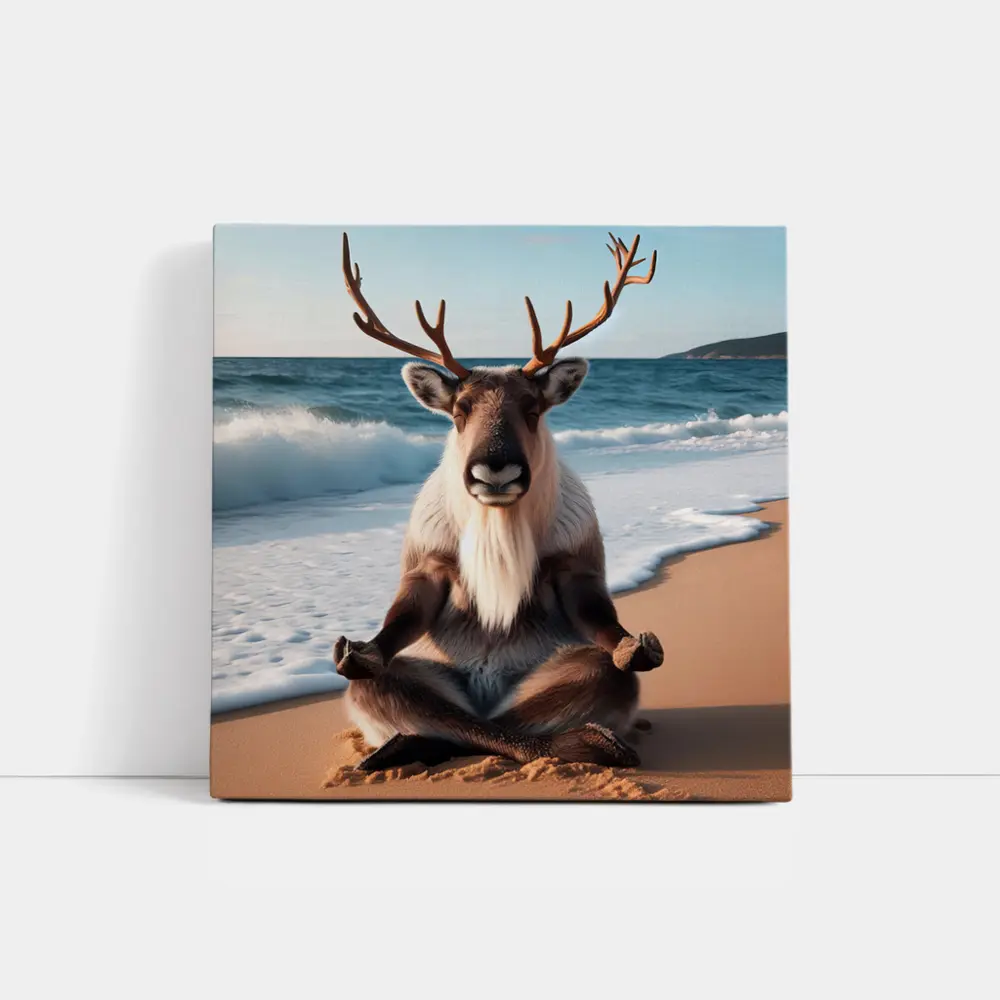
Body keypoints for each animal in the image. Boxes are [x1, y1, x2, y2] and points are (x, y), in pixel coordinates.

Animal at [334, 231, 664, 772]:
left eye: (532, 408)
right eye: (460, 410)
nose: (496, 468)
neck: (498, 526)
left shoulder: (577, 561)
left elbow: (599, 620)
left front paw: (631, 647)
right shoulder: (426, 562)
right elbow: (401, 618)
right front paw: (362, 652)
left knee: (519, 719)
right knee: (439, 712)